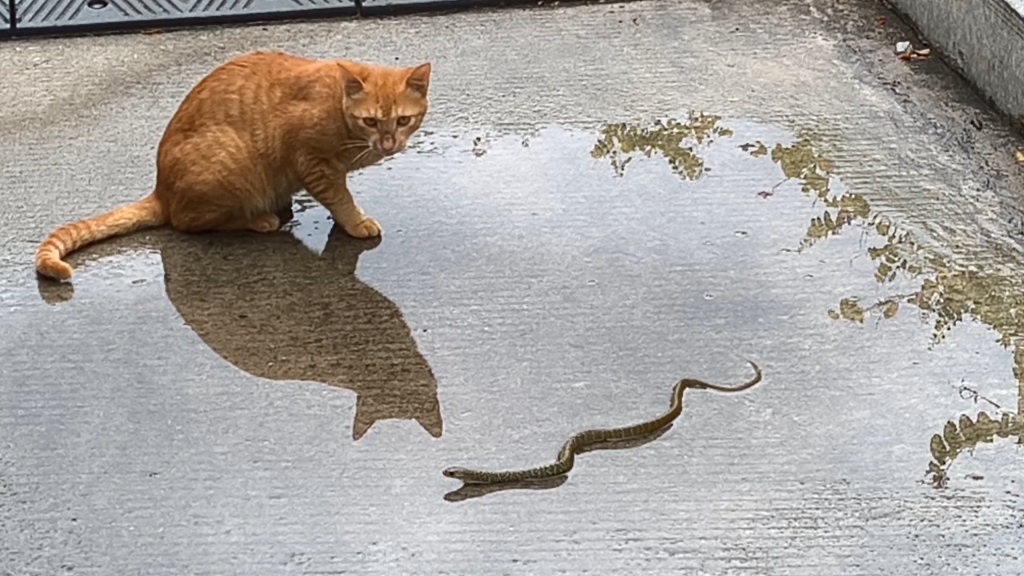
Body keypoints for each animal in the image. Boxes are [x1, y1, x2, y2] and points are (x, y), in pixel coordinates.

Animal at [35, 50, 428, 278]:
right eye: (371, 121)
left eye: (403, 121)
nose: (389, 143)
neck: (339, 110)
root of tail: (162, 190)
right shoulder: (313, 164)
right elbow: (341, 199)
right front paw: (356, 222)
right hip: (232, 165)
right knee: (188, 222)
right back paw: (259, 219)